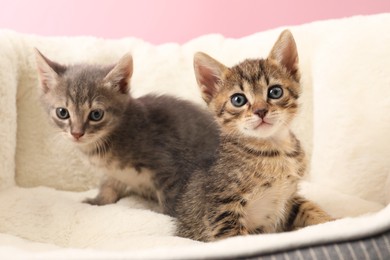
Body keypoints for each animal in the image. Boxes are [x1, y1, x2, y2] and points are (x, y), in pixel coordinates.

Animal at [34, 49, 218, 215]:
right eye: (62, 112)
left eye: (96, 114)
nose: (77, 133)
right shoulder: (113, 174)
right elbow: (108, 187)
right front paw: (98, 201)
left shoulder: (169, 167)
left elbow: (172, 202)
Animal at [176, 30, 332, 242]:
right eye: (238, 99)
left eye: (275, 91)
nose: (260, 111)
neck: (275, 151)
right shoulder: (222, 210)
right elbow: (237, 238)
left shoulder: (289, 199)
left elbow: (310, 207)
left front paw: (334, 221)